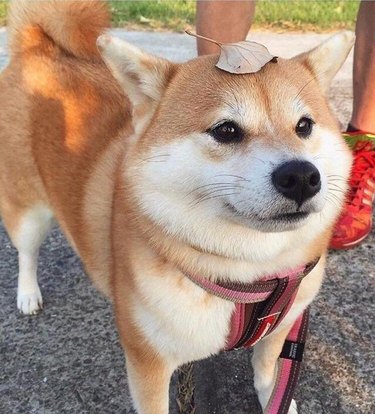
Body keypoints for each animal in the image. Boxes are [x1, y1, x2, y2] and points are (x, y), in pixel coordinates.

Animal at [0, 0, 354, 414]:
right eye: (226, 130)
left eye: (304, 125)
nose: (300, 176)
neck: (250, 274)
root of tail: (37, 47)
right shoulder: (148, 361)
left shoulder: (281, 326)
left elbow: (268, 371)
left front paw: (277, 398)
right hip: (27, 210)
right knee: (26, 251)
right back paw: (27, 293)